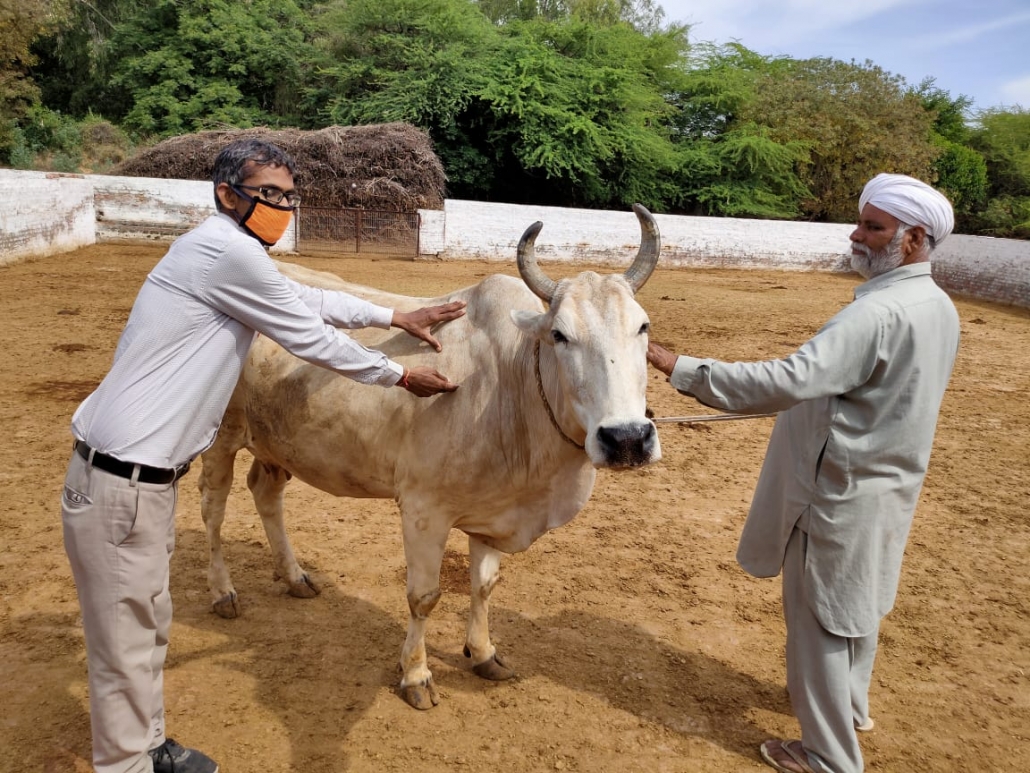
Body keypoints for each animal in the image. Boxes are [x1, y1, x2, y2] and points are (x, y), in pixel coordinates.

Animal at [199, 204, 663, 709]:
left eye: (643, 326)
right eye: (560, 335)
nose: (627, 439)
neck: (511, 387)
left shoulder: (494, 512)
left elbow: (484, 585)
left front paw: (483, 653)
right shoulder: (424, 511)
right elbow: (424, 597)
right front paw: (416, 675)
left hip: (276, 444)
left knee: (265, 494)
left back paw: (295, 577)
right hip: (220, 437)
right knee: (213, 511)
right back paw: (222, 592)